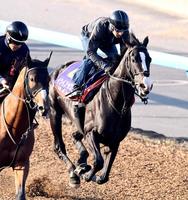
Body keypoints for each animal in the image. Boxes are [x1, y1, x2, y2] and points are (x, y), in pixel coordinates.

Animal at [48, 33, 153, 188]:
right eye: (134, 59)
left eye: (149, 59)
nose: (146, 86)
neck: (116, 103)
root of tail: (57, 70)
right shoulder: (91, 133)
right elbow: (98, 161)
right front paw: (84, 174)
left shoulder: (115, 141)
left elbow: (104, 177)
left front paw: (88, 171)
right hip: (54, 112)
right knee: (58, 146)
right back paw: (74, 173)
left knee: (75, 136)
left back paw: (82, 162)